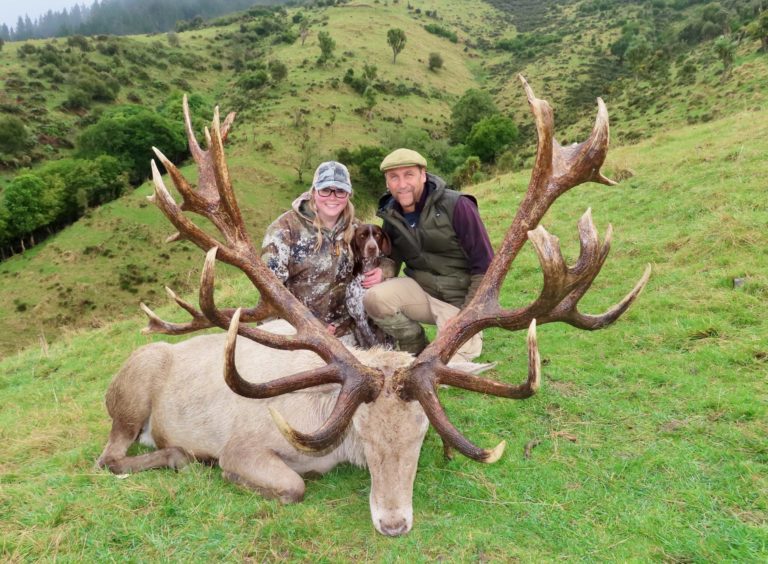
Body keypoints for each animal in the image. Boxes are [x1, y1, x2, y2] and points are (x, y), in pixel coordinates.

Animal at [97, 76, 650, 536]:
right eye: (361, 431)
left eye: (423, 432)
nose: (393, 524)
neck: (324, 432)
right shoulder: (241, 446)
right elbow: (293, 486)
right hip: (130, 397)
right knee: (108, 457)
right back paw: (174, 454)